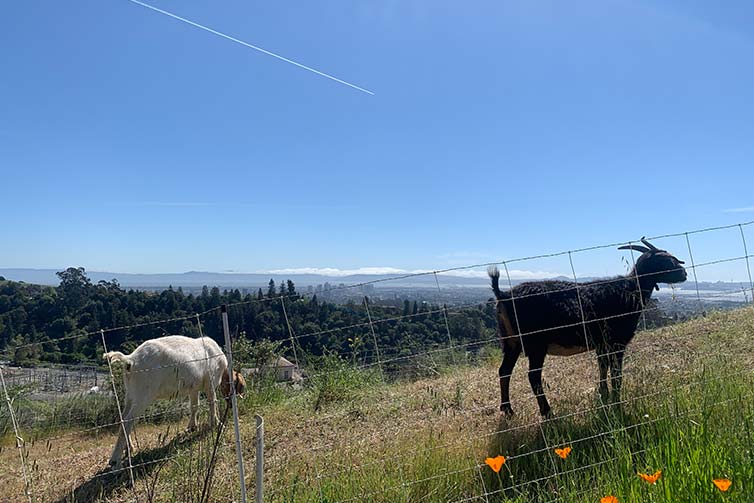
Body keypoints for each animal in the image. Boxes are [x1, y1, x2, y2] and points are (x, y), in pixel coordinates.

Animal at [102, 336, 244, 470]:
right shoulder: (210, 381)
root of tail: (130, 360)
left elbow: (194, 406)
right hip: (143, 395)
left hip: (131, 394)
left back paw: (129, 448)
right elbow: (212, 402)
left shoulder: (194, 388)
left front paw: (192, 427)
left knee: (122, 418)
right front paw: (216, 424)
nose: (232, 405)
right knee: (128, 421)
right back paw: (115, 462)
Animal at [490, 239, 684, 418]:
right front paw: (617, 403)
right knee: (533, 376)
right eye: (665, 260)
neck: (628, 291)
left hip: (510, 341)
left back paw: (507, 410)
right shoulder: (616, 342)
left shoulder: (602, 344)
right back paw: (547, 412)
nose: (684, 273)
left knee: (504, 371)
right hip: (535, 343)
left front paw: (603, 395)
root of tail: (504, 295)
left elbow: (603, 367)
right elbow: (616, 374)